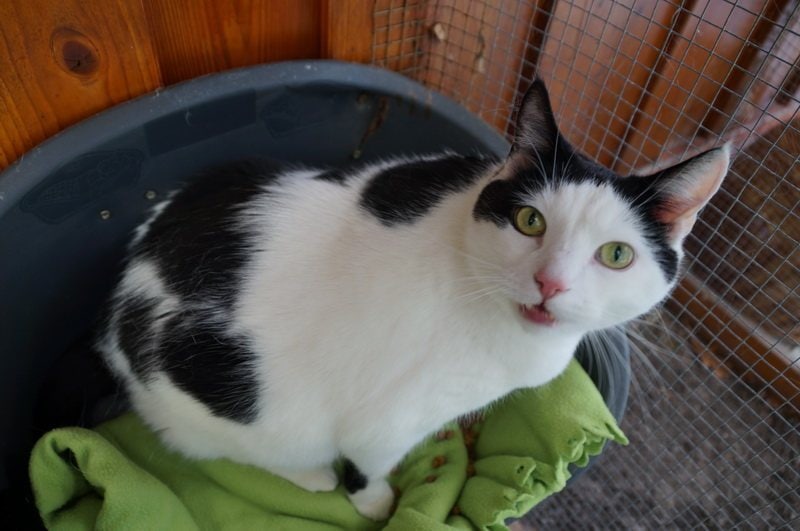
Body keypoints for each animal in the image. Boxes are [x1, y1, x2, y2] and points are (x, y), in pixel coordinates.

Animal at [96, 79, 730, 520]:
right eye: (529, 221)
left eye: (617, 255)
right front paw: (377, 503)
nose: (551, 283)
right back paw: (312, 475)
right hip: (234, 410)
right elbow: (370, 466)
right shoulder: (386, 422)